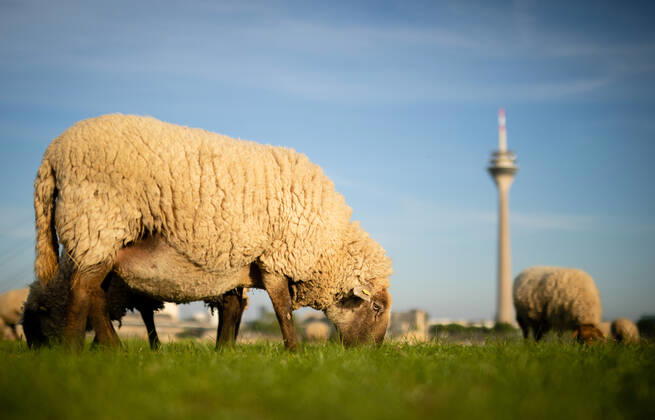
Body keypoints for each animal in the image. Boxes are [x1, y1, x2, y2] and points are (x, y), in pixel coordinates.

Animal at [33, 114, 392, 350]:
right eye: (376, 308)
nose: (371, 353)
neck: (328, 246)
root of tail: (52, 154)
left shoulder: (238, 264)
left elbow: (233, 308)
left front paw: (225, 352)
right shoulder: (275, 258)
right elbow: (282, 309)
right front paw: (294, 351)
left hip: (105, 240)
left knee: (95, 294)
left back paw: (111, 349)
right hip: (96, 222)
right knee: (82, 291)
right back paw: (75, 351)